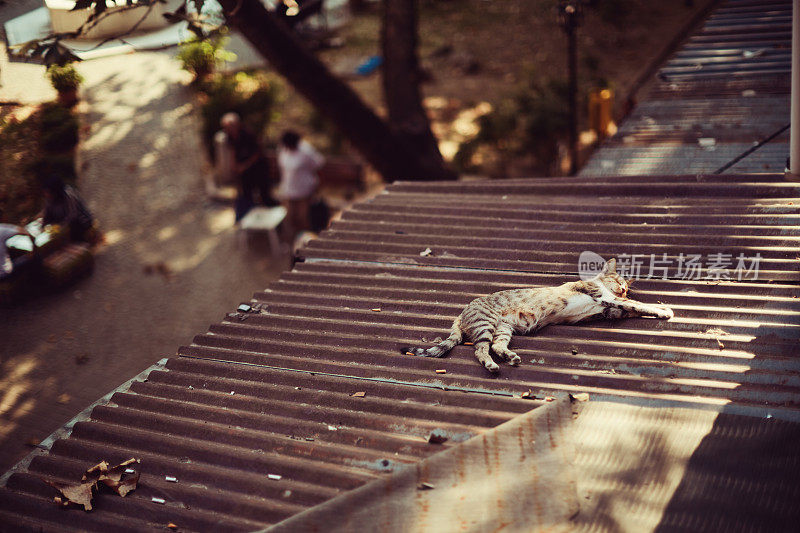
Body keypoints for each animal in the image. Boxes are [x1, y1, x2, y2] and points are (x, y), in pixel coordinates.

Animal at [404, 256, 672, 370]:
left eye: (626, 285)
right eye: (619, 281)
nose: (625, 289)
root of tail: (460, 314)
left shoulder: (606, 311)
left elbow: (630, 308)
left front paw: (660, 308)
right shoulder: (604, 297)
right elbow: (636, 305)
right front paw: (664, 310)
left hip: (503, 329)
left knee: (496, 346)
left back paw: (510, 357)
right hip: (485, 324)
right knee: (480, 351)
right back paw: (492, 365)